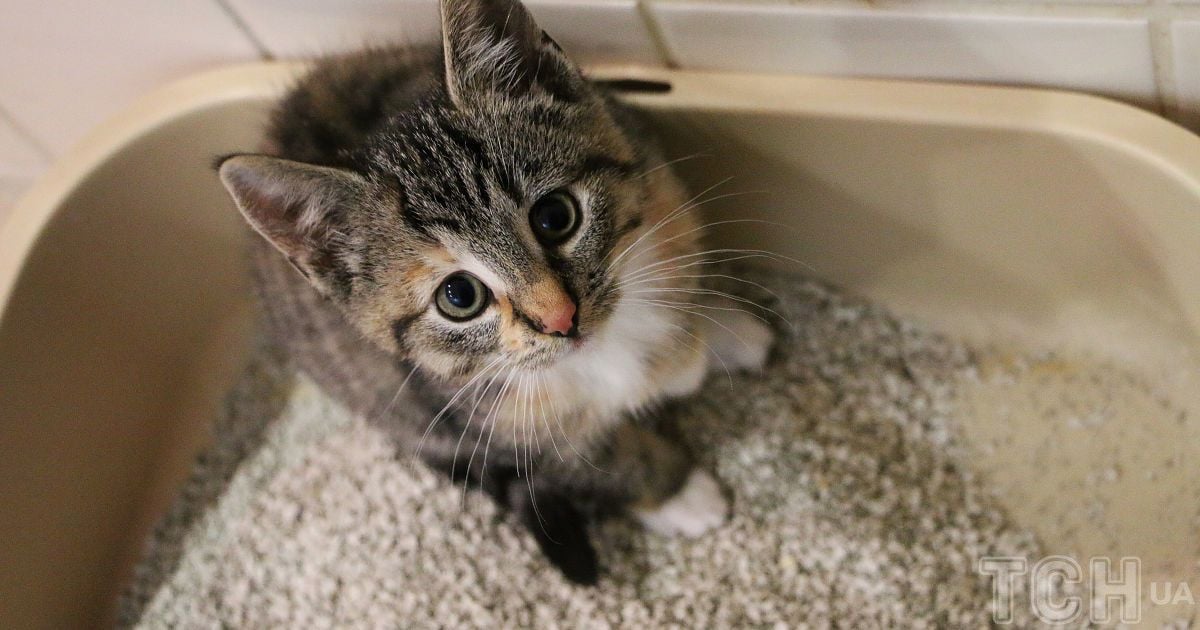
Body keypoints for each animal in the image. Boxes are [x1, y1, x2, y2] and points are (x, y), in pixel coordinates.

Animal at [216, 0, 773, 584]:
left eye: (555, 216)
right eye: (459, 297)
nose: (561, 318)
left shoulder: (656, 178)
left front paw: (715, 330)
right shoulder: (489, 418)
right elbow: (593, 461)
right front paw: (678, 493)